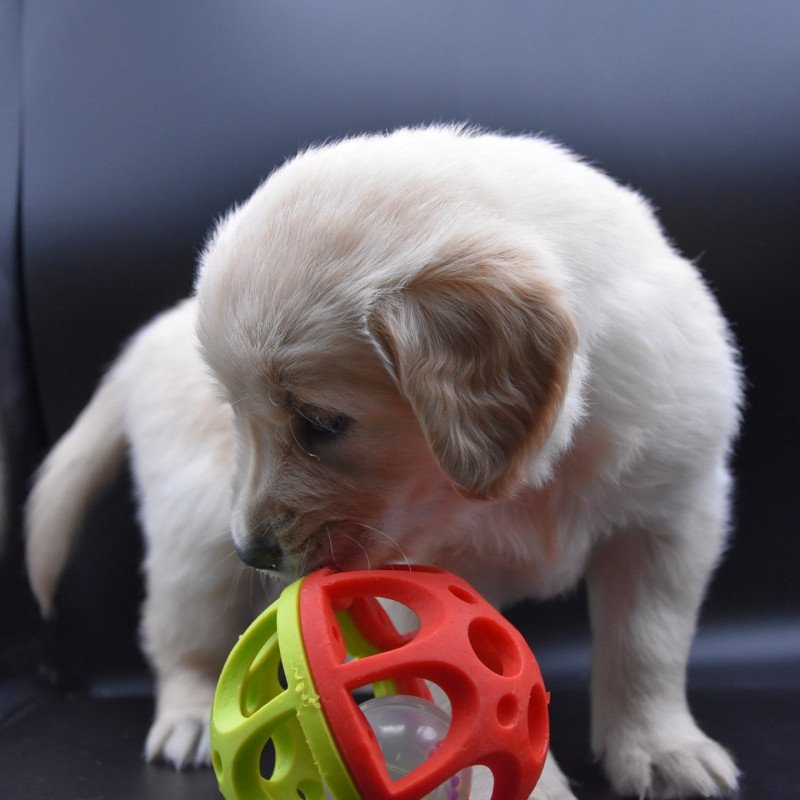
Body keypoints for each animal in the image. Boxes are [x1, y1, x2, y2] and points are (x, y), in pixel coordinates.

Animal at [195, 126, 744, 800]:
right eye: (236, 413)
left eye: (321, 421)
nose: (252, 553)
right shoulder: (422, 576)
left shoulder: (671, 514)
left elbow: (648, 642)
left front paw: (662, 748)